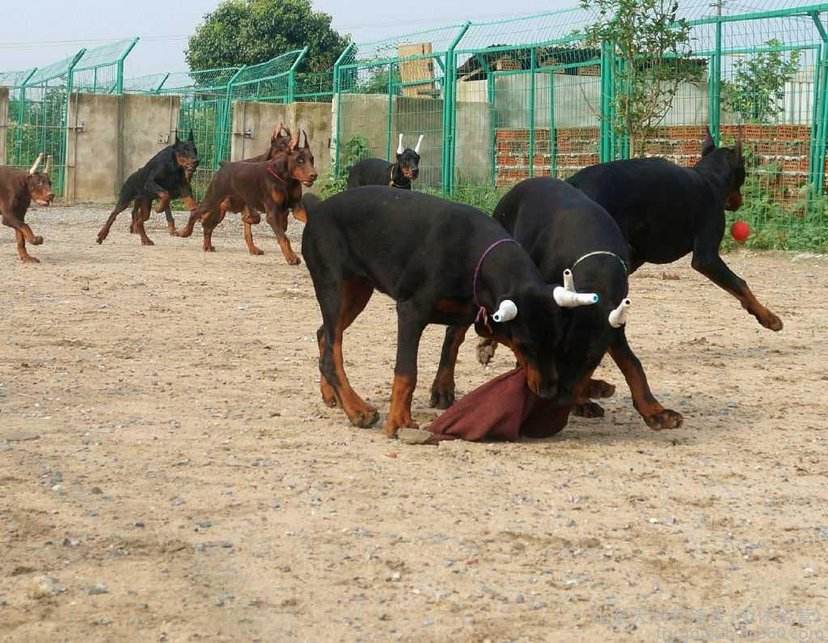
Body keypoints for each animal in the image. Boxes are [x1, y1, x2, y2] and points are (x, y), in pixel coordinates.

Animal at [178, 131, 316, 264]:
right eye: (299, 160)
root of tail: (225, 165)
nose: (314, 175)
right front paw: (291, 257)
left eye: (312, 159)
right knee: (197, 214)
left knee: (207, 226)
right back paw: (185, 232)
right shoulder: (272, 213)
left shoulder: (297, 207)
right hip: (213, 199)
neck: (286, 179)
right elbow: (283, 238)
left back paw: (208, 246)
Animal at [300, 185, 576, 438]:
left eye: (557, 342)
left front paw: (442, 389)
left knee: (324, 334)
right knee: (331, 351)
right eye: (525, 344)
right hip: (334, 287)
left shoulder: (471, 307)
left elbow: (452, 342)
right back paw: (358, 410)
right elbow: (407, 372)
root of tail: (318, 209)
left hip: (357, 292)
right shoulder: (411, 311)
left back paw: (331, 394)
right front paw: (399, 421)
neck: (474, 252)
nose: (549, 391)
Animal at [568, 129, 780, 428]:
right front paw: (768, 317)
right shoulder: (706, 257)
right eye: (744, 172)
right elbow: (740, 284)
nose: (739, 202)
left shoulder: (636, 255)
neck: (709, 179)